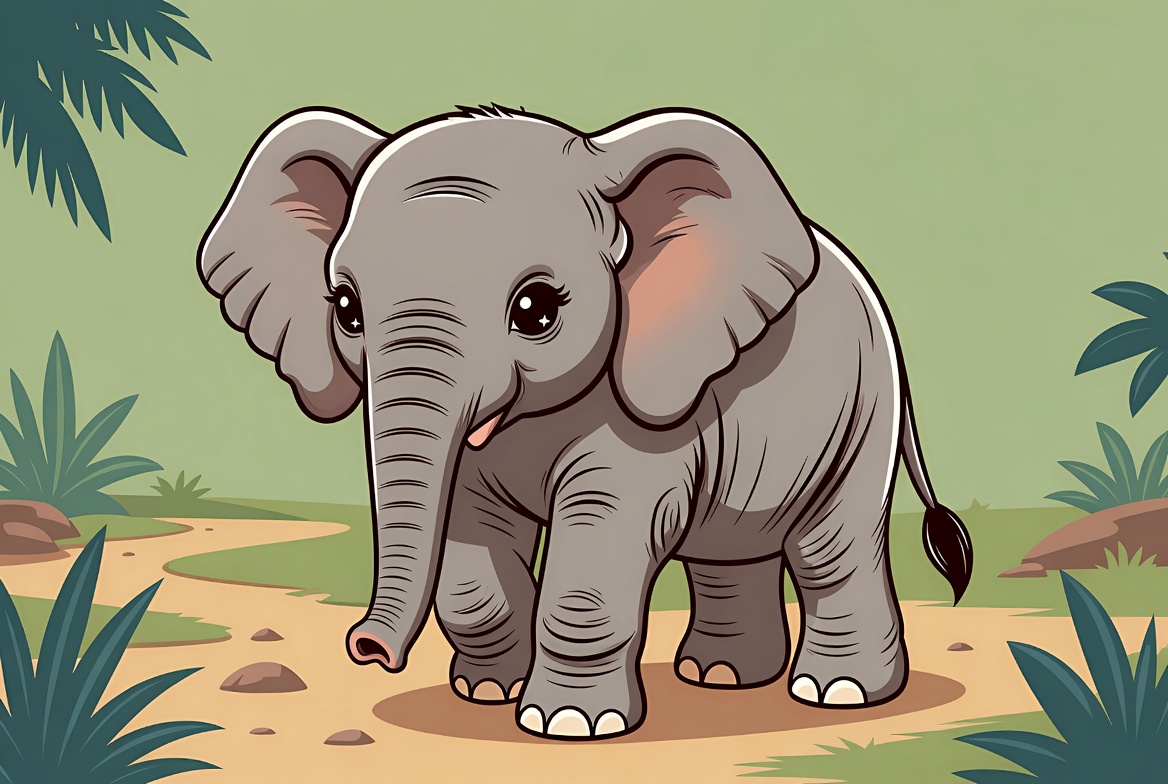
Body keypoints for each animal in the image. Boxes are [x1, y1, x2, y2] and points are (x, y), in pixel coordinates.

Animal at [197, 103, 973, 740]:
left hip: (864, 406)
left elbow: (602, 537)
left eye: (537, 310)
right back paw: (719, 678)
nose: (366, 648)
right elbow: (471, 542)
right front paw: (486, 693)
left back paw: (836, 692)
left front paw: (566, 724)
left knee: (830, 547)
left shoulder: (640, 418)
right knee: (728, 548)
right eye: (346, 311)